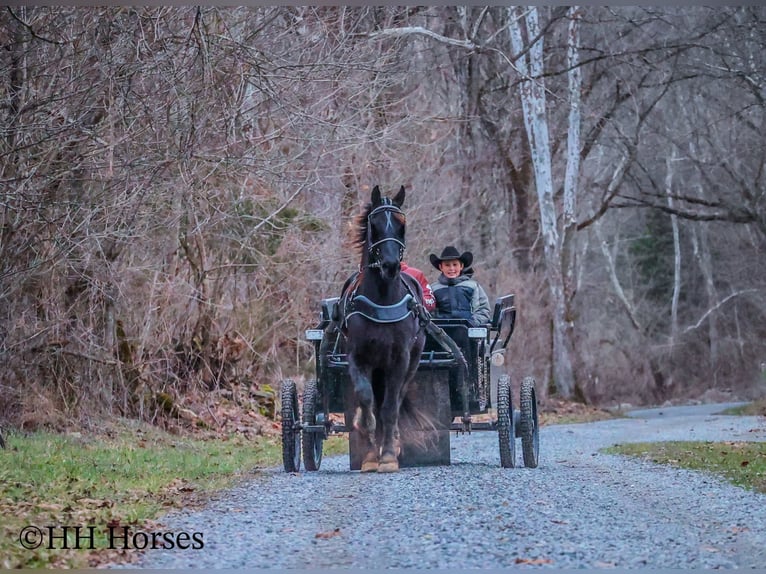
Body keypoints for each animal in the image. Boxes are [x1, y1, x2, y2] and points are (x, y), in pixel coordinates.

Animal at [338, 185, 428, 473]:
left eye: (402, 225)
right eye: (374, 225)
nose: (390, 265)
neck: (382, 299)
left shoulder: (400, 359)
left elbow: (389, 407)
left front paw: (388, 455)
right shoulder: (358, 357)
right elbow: (367, 400)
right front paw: (369, 453)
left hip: (413, 362)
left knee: (397, 400)